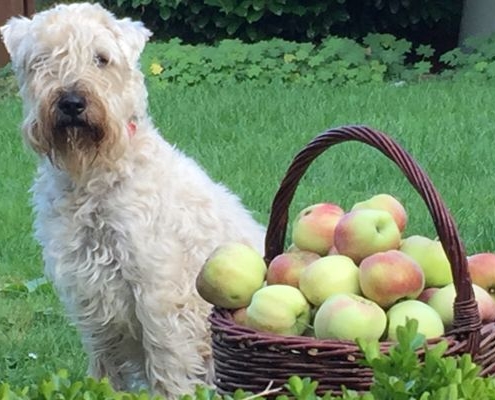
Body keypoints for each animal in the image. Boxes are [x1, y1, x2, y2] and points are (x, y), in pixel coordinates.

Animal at [0, 2, 268, 396]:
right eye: (44, 58)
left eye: (102, 58)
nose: (72, 102)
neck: (93, 178)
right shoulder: (89, 289)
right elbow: (105, 358)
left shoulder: (158, 290)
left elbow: (167, 359)